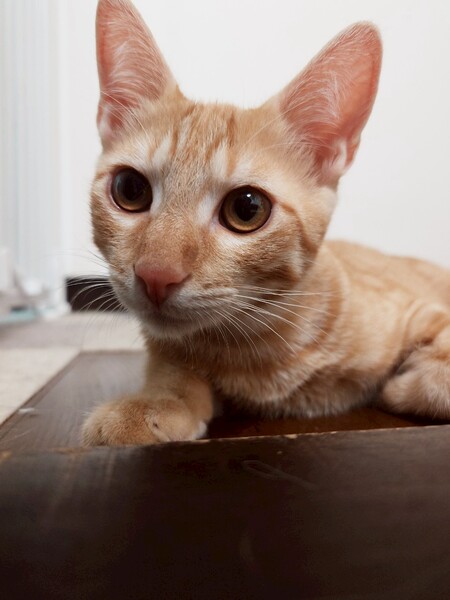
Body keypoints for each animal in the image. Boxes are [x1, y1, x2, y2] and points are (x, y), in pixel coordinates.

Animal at [82, 0, 450, 446]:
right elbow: (171, 371)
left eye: (246, 209)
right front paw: (155, 403)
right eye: (130, 189)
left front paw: (399, 386)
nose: (156, 274)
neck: (257, 348)